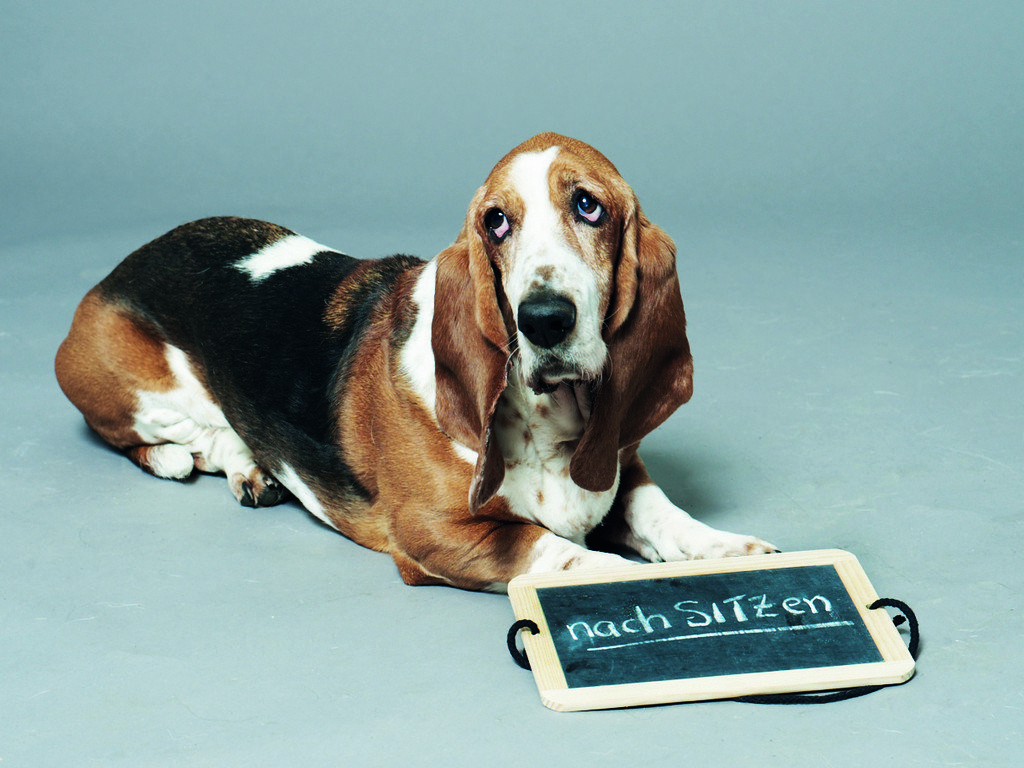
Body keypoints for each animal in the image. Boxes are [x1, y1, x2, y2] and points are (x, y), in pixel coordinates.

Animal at [55, 133, 775, 591]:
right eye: (496, 223)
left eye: (588, 206)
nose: (543, 318)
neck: (549, 422)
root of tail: (121, 266)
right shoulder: (444, 535)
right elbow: (566, 555)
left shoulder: (617, 460)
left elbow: (659, 511)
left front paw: (728, 551)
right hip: (139, 392)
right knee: (184, 439)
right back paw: (224, 463)